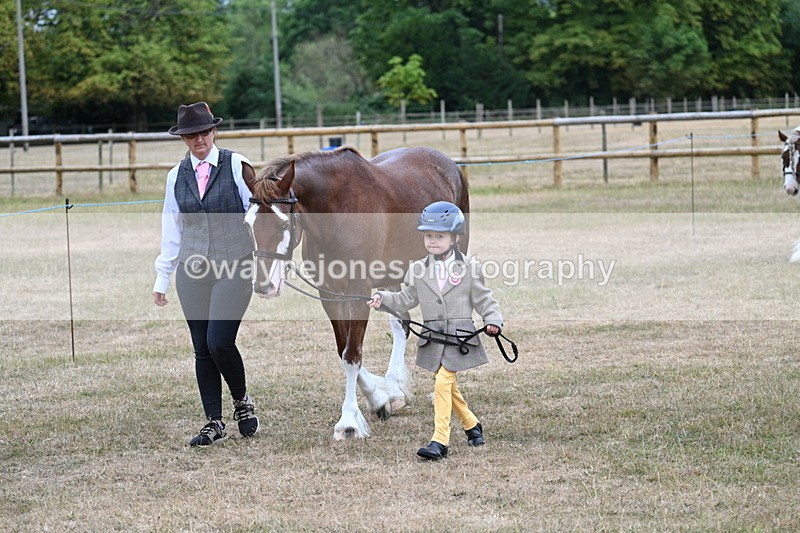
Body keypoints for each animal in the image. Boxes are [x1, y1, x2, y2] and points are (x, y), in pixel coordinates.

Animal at [243, 146, 470, 440]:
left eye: (283, 224)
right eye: (248, 224)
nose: (264, 286)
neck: (337, 212)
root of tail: (448, 164)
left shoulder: (358, 291)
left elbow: (352, 355)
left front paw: (349, 422)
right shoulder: (330, 294)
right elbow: (344, 350)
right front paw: (380, 399)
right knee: (402, 325)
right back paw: (394, 387)